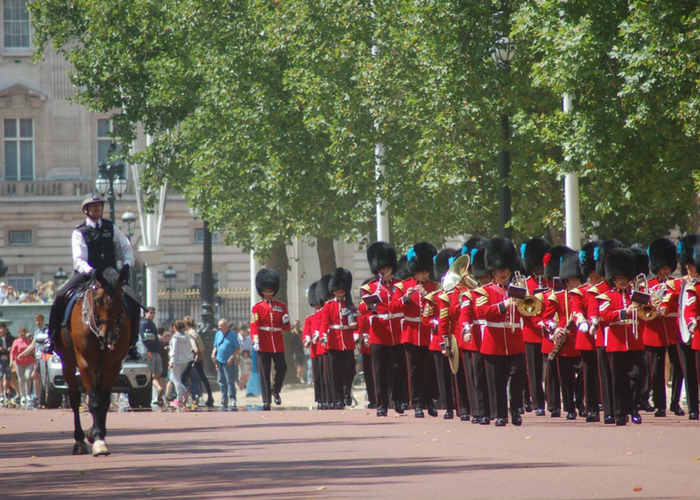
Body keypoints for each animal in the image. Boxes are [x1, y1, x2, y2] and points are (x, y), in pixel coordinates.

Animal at [56, 270, 131, 458]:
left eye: (120, 298)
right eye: (97, 299)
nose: (108, 336)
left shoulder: (112, 365)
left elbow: (103, 400)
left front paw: (99, 435)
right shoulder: (85, 362)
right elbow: (95, 401)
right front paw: (97, 438)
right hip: (68, 363)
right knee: (75, 398)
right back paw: (79, 441)